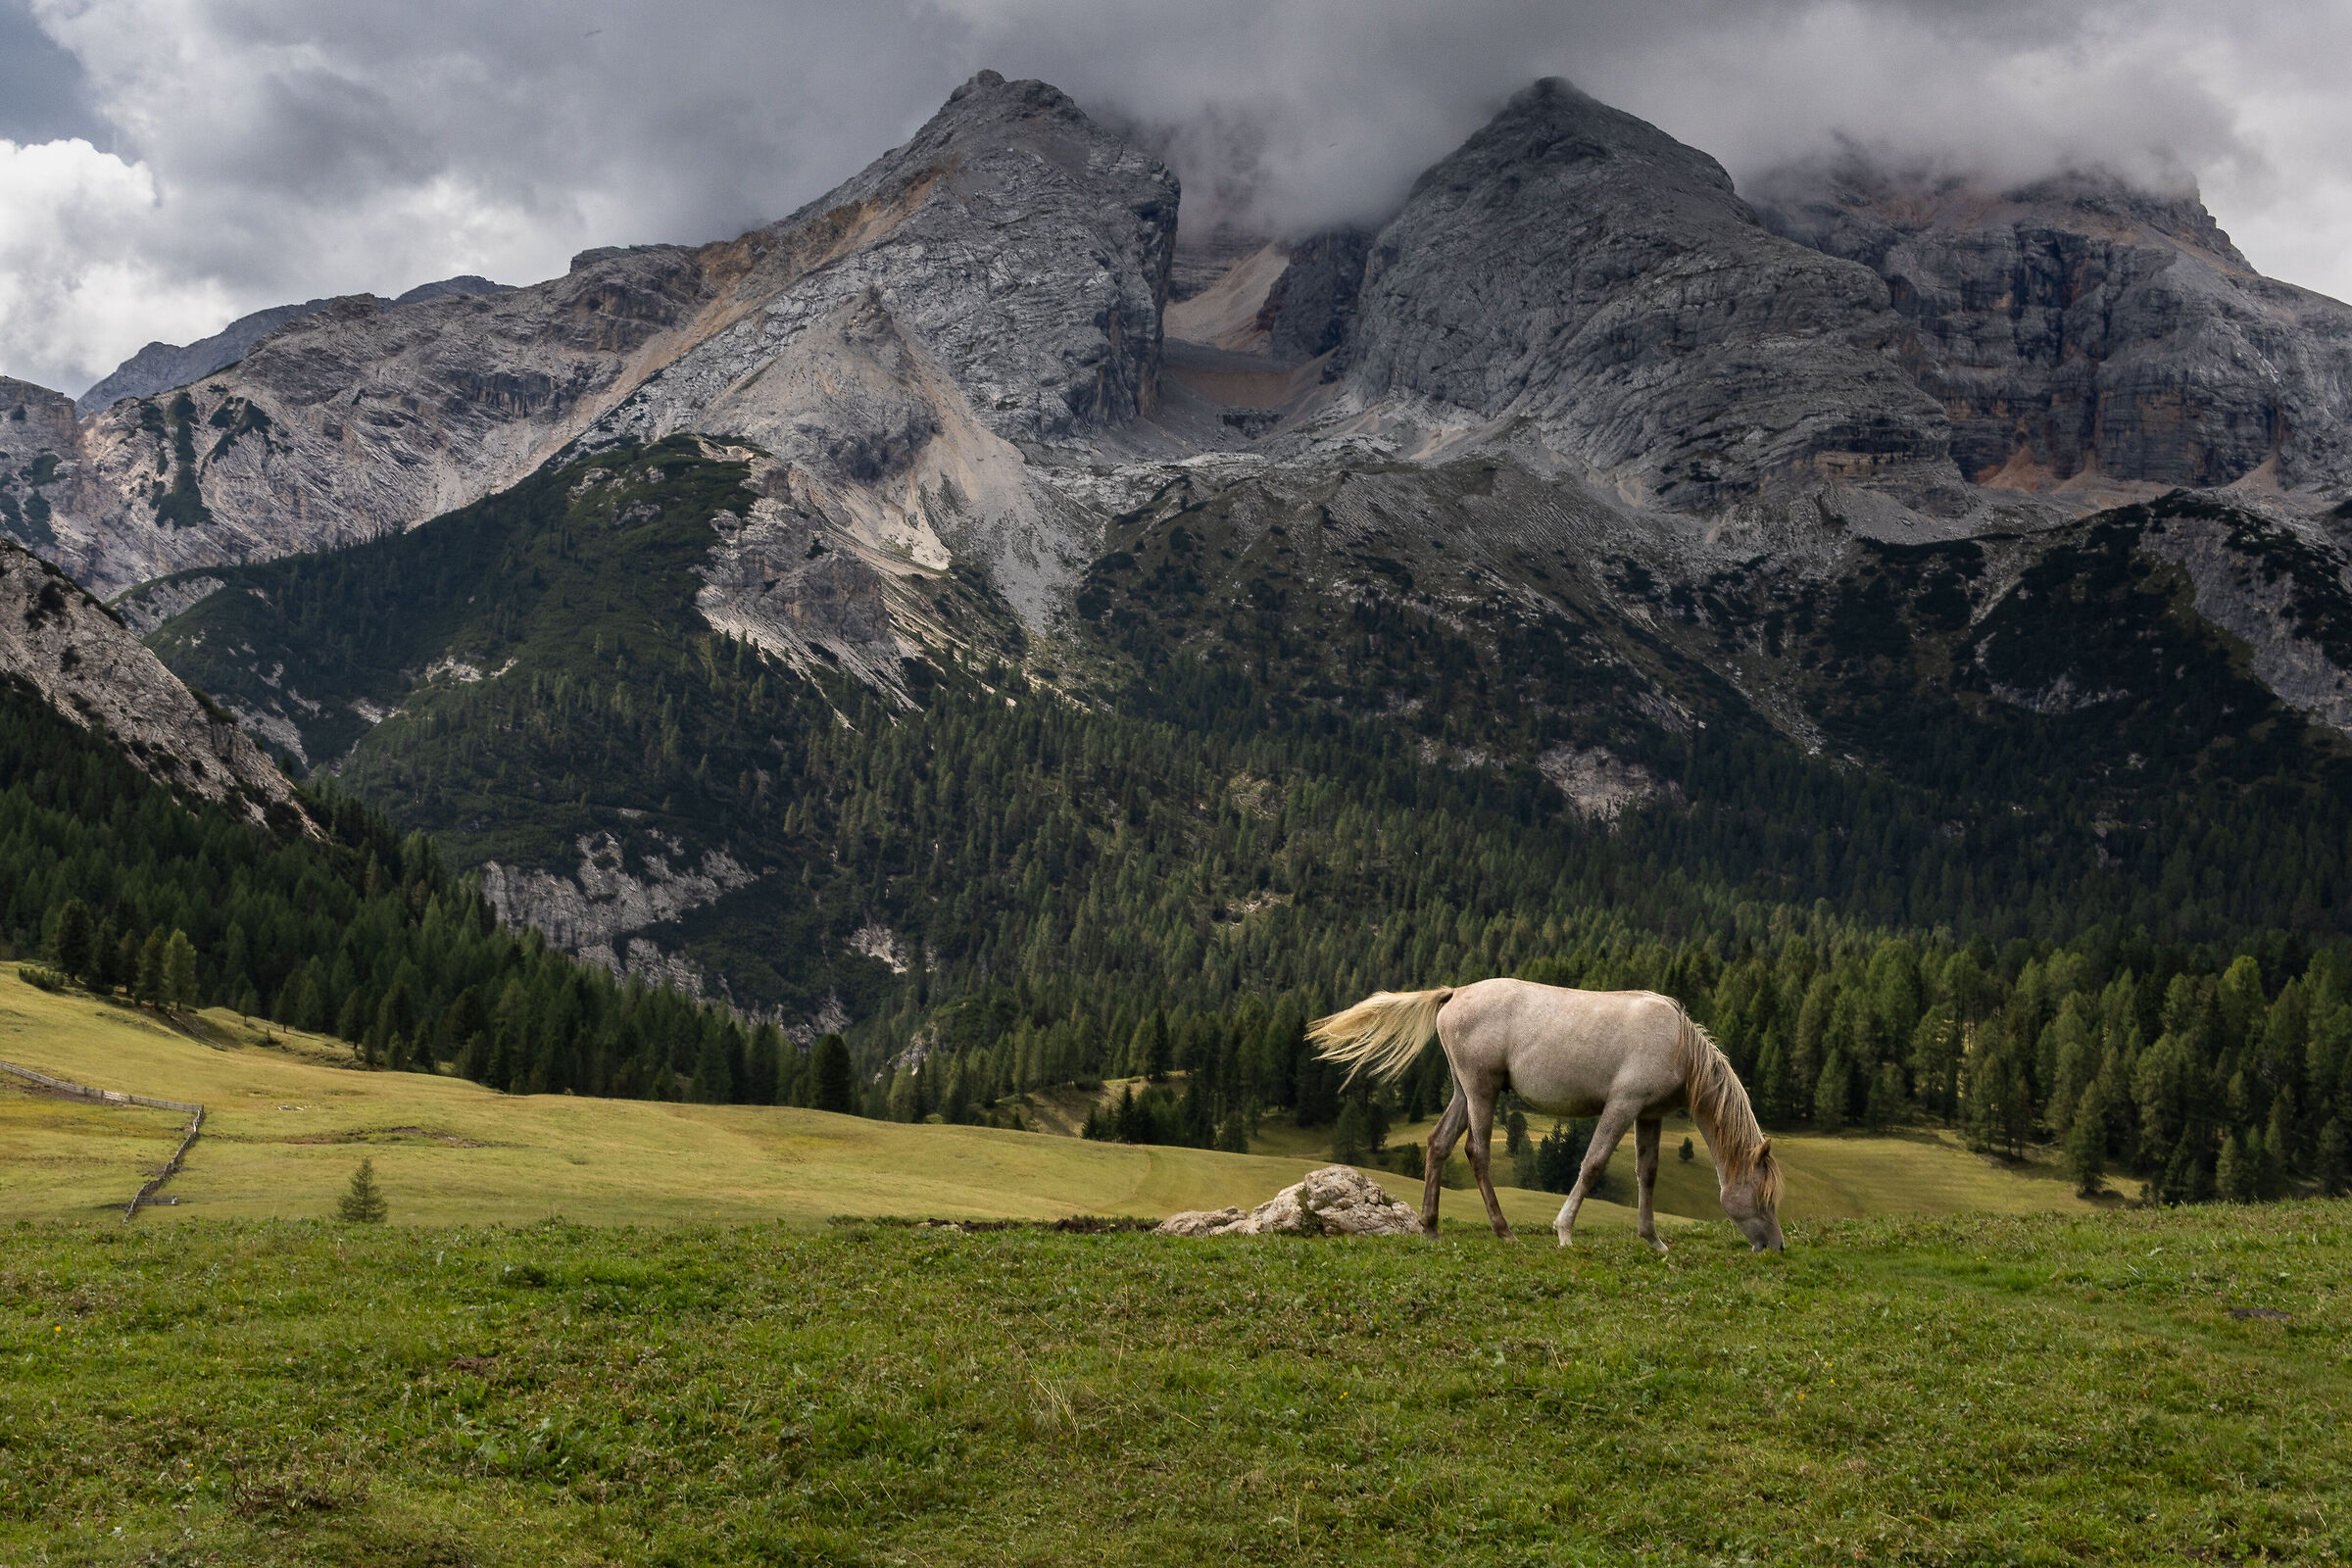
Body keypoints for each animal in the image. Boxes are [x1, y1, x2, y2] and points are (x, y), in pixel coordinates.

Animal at [1308, 979, 1785, 1252]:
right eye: (1765, 1197)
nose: (1777, 1247)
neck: (1676, 1042)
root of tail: (1454, 994)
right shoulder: (1622, 1105)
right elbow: (1592, 1165)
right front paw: (1564, 1232)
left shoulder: (1649, 1115)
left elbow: (1647, 1173)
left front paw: (1653, 1240)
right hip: (1481, 1090)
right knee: (1476, 1152)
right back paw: (1503, 1231)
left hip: (1464, 1091)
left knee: (1439, 1145)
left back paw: (1430, 1228)